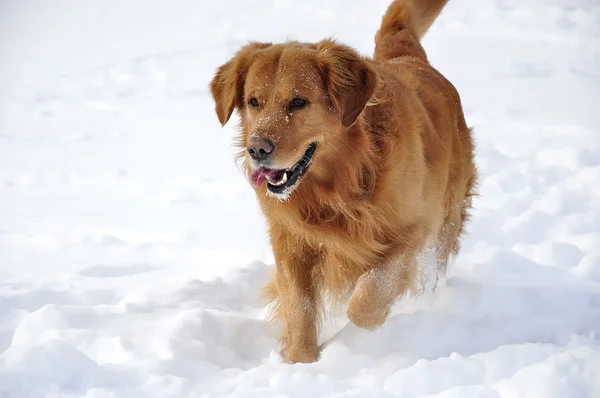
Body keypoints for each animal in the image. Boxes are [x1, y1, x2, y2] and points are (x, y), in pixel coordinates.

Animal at [211, 0, 478, 364]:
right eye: (253, 102)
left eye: (298, 101)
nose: (257, 149)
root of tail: (408, 59)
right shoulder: (291, 240)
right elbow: (299, 306)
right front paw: (301, 360)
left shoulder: (412, 229)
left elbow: (366, 300)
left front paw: (351, 339)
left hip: (446, 223)